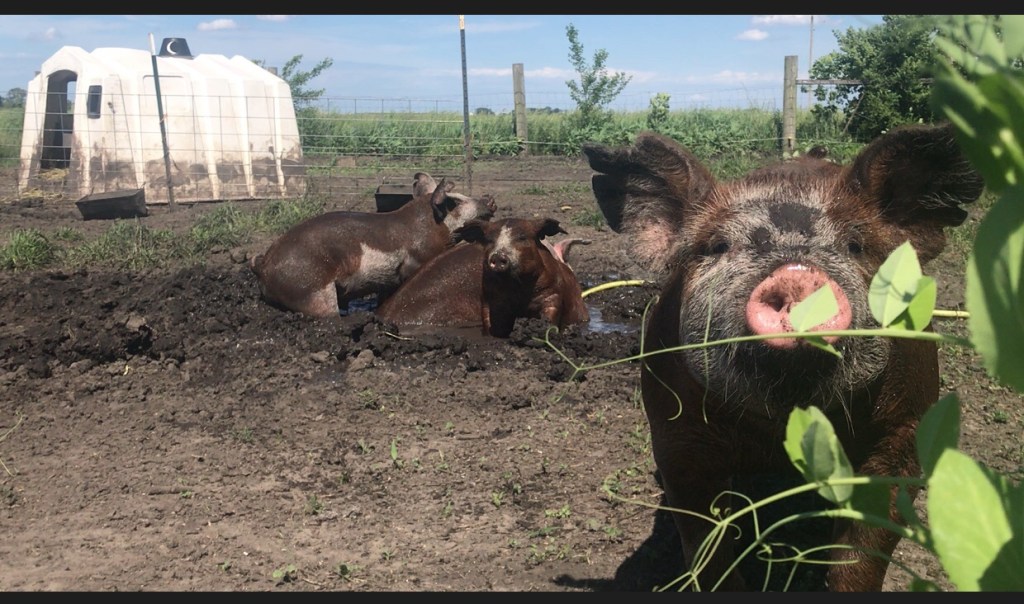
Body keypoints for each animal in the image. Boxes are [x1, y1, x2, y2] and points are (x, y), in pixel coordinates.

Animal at [582, 123, 984, 591]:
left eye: (855, 245)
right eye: (717, 245)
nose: (795, 273)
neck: (780, 427)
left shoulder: (905, 427)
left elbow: (862, 552)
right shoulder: (674, 432)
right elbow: (705, 542)